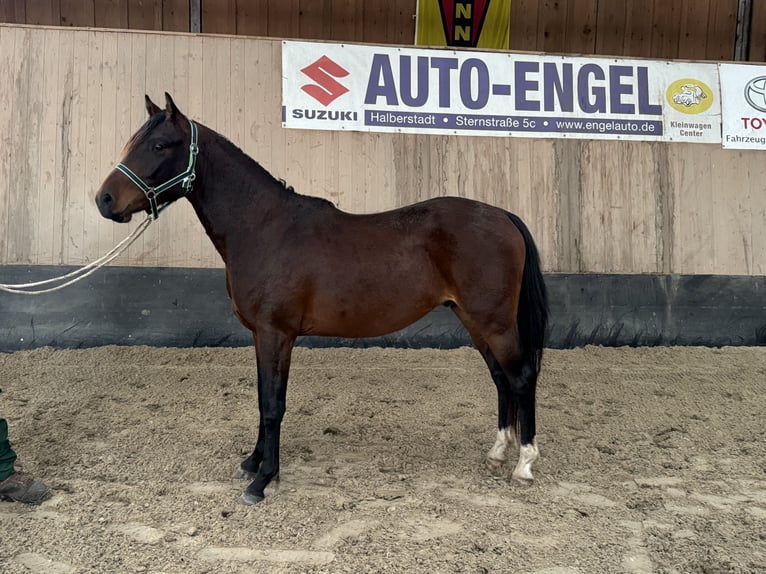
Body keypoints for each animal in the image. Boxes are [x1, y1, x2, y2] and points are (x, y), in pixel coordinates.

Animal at [96, 93, 548, 504]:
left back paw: (524, 465)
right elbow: (262, 399)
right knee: (501, 378)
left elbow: (273, 404)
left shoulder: (277, 333)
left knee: (521, 377)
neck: (264, 228)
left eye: (159, 145)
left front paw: (263, 480)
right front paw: (254, 462)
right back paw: (497, 453)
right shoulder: (261, 335)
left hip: (495, 322)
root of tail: (502, 215)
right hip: (473, 320)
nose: (104, 200)